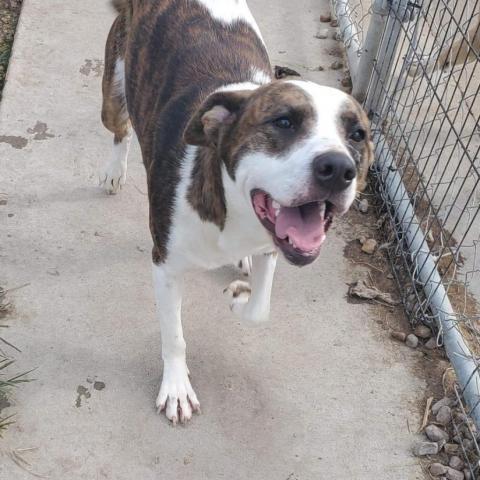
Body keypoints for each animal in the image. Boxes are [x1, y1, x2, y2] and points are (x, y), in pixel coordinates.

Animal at [99, 0, 374, 424]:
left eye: (357, 135)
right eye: (283, 121)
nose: (337, 168)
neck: (235, 213)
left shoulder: (272, 245)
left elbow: (260, 309)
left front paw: (240, 297)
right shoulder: (165, 266)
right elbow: (174, 336)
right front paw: (176, 387)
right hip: (114, 92)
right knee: (120, 127)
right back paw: (115, 169)